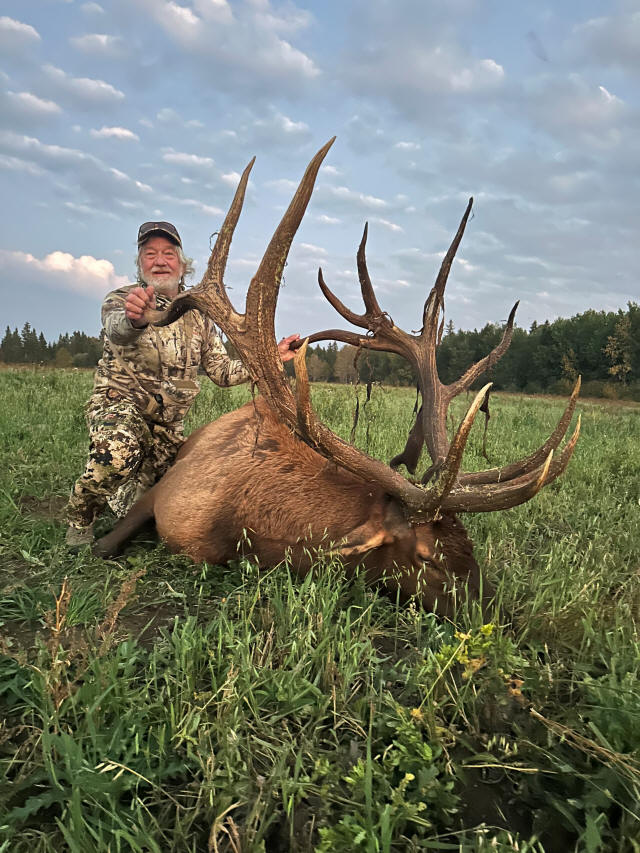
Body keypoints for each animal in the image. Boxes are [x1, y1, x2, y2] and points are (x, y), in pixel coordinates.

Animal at [93, 138, 580, 617]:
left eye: (469, 544)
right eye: (428, 558)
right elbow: (104, 545)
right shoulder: (164, 493)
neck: (246, 531)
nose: (496, 617)